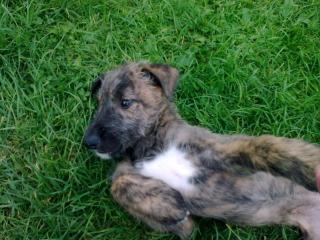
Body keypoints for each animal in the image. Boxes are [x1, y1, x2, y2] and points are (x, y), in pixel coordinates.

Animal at [84, 62, 320, 239]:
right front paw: (169, 206)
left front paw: (310, 165)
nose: (89, 141)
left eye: (126, 102)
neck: (151, 146)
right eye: (99, 103)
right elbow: (118, 185)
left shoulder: (215, 148)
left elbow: (263, 146)